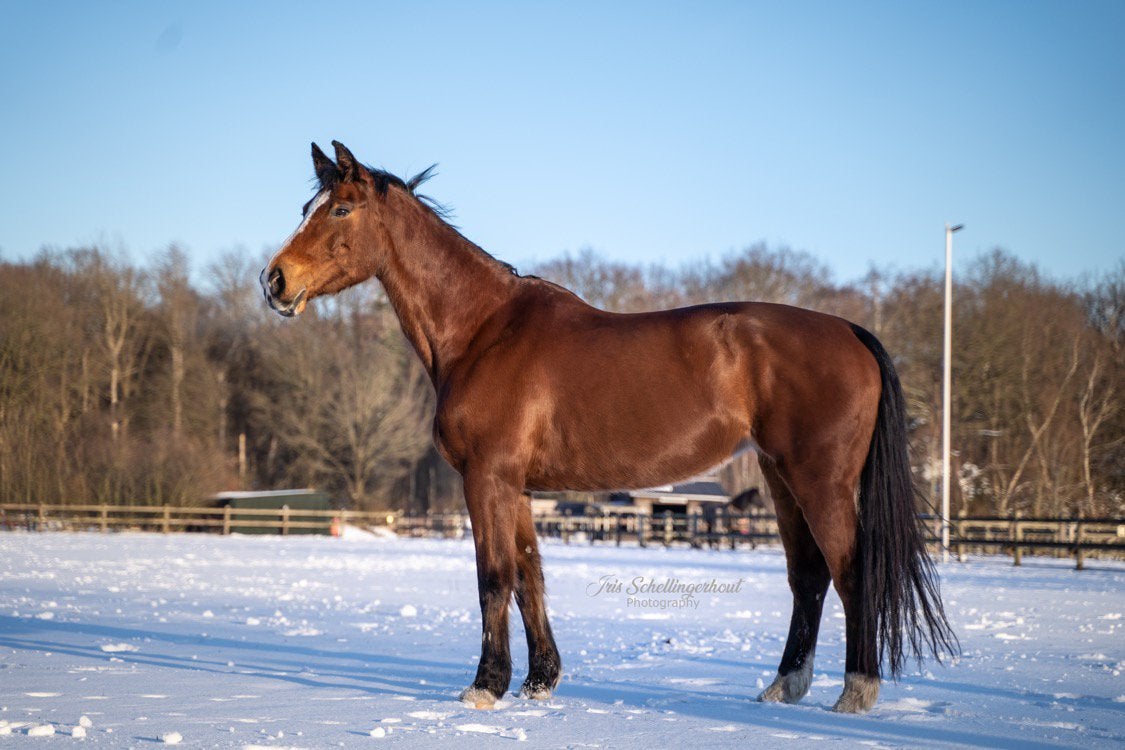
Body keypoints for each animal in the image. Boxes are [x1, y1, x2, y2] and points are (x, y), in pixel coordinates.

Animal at [260, 141, 957, 713]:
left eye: (340, 209)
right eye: (306, 205)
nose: (274, 281)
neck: (484, 331)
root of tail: (851, 332)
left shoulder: (487, 478)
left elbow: (493, 579)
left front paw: (485, 686)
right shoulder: (517, 488)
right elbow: (530, 577)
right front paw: (540, 682)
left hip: (821, 480)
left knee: (849, 572)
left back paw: (855, 693)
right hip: (780, 477)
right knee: (807, 577)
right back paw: (783, 687)